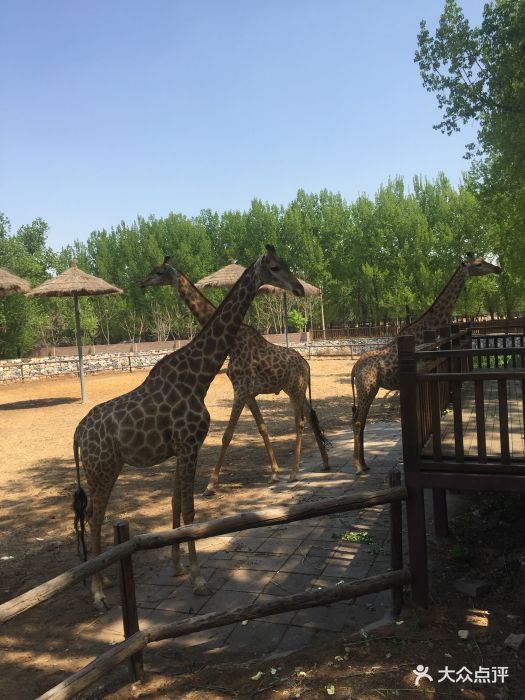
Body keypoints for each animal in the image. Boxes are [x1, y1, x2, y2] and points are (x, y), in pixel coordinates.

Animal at [73, 246, 302, 608]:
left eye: (287, 266)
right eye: (276, 267)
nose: (299, 289)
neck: (198, 377)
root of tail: (79, 432)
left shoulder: (184, 447)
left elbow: (178, 506)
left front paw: (179, 566)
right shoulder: (188, 444)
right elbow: (191, 511)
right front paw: (197, 579)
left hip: (102, 468)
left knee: (93, 514)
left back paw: (104, 579)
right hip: (103, 468)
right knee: (94, 517)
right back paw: (97, 592)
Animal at [137, 256, 330, 492]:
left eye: (158, 272)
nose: (142, 283)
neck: (234, 343)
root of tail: (307, 365)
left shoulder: (241, 390)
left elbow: (227, 435)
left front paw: (211, 484)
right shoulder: (247, 393)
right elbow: (262, 428)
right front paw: (274, 474)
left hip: (295, 389)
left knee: (300, 422)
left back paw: (294, 472)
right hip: (296, 390)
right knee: (311, 415)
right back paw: (325, 462)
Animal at [350, 254, 502, 474]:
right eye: (478, 264)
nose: (498, 269)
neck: (426, 329)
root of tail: (354, 370)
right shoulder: (421, 370)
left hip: (370, 389)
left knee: (360, 421)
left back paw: (364, 463)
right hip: (367, 387)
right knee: (357, 421)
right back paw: (359, 466)